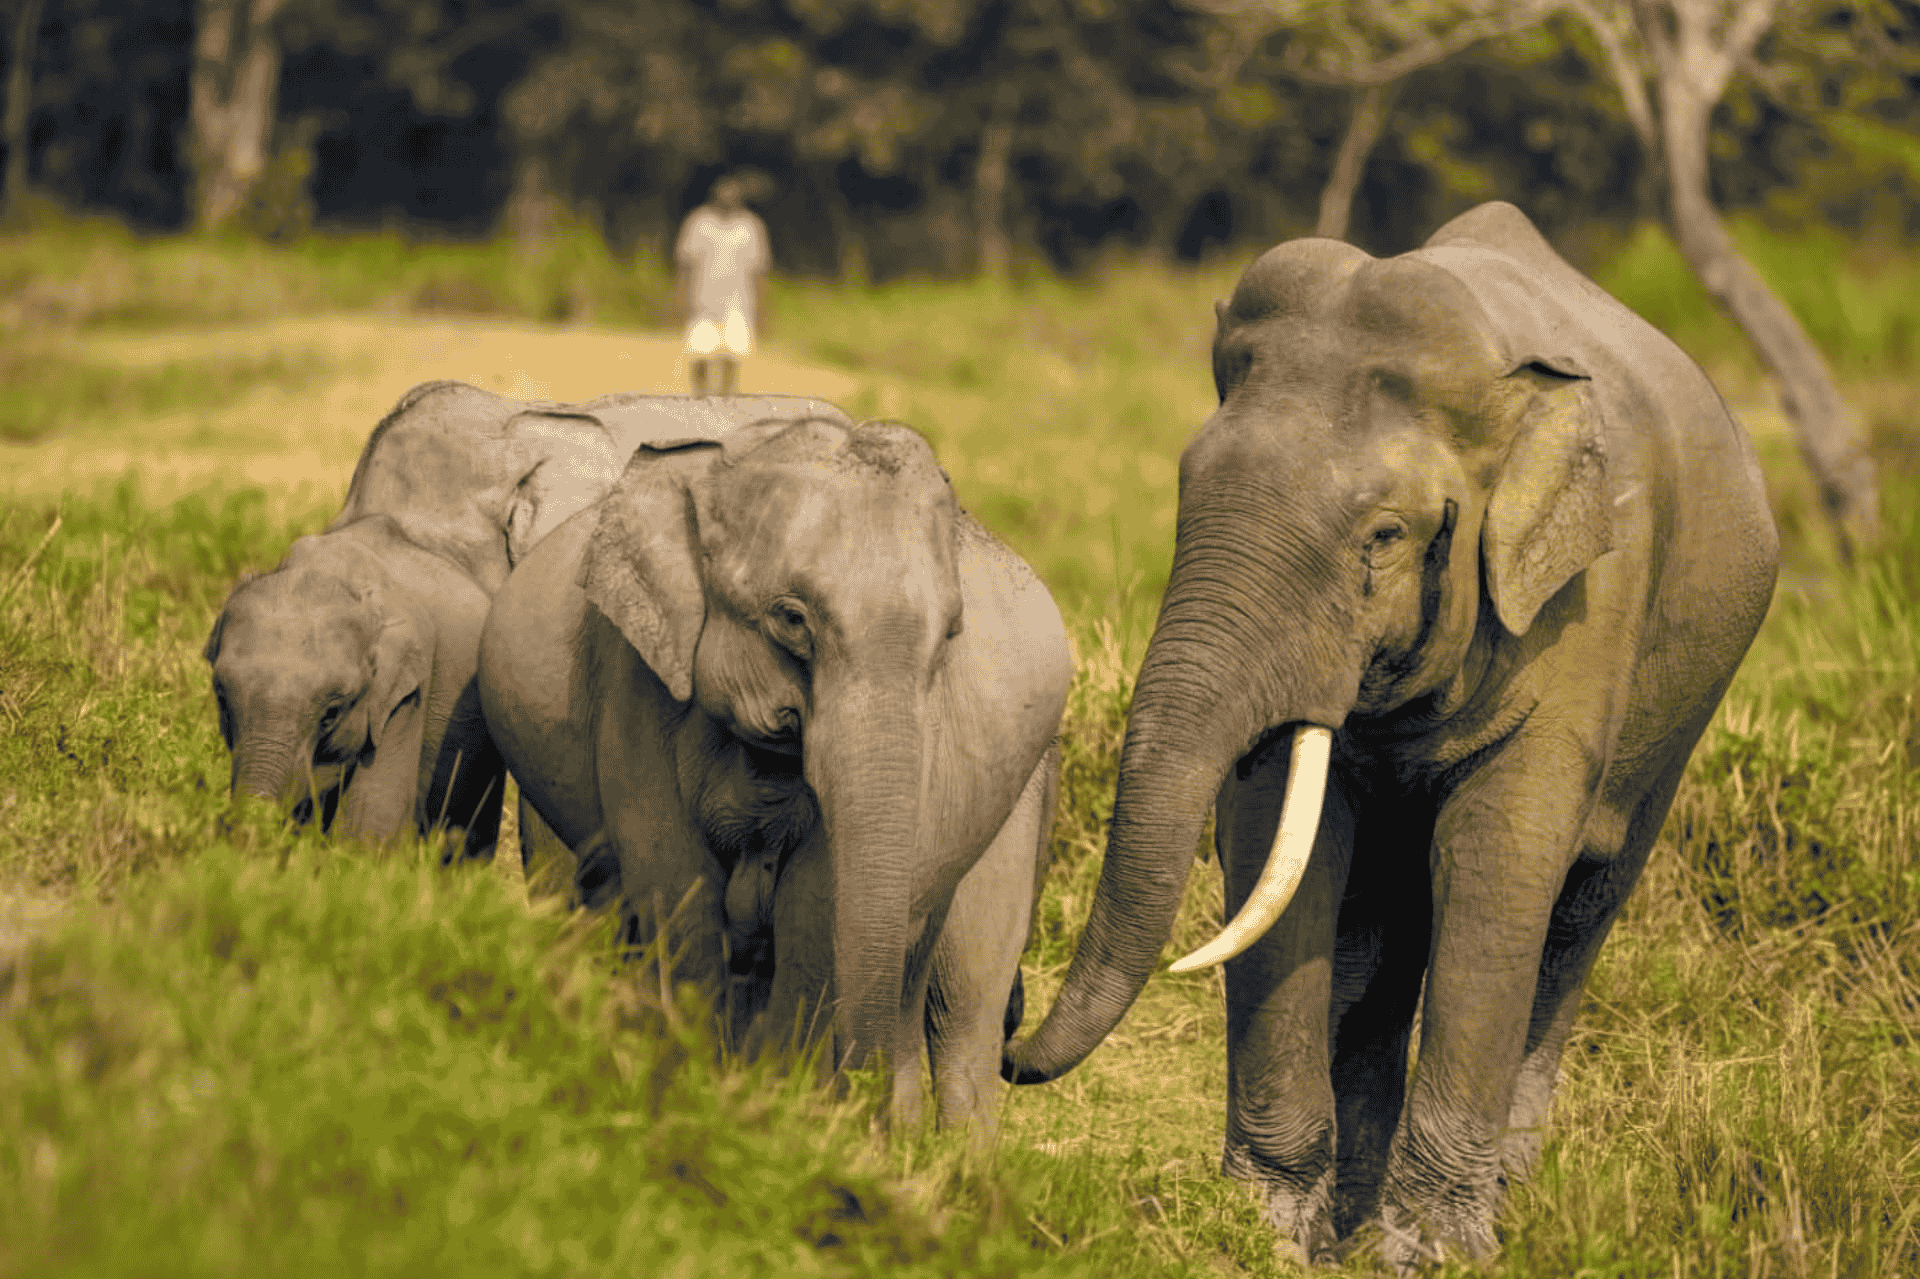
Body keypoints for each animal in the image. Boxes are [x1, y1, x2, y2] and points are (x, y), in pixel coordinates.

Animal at [478, 414, 1073, 1133]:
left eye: (951, 634)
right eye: (792, 618)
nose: (860, 1100)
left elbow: (812, 907)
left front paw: (775, 1107)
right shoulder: (637, 670)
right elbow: (677, 883)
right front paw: (693, 1091)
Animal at [1003, 202, 1779, 1267]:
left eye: (1384, 537)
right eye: (1185, 489)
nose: (1006, 1034)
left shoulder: (1585, 602)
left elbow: (1497, 861)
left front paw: (1437, 1254)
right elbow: (1281, 847)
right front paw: (1270, 1231)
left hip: (1685, 708)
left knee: (1576, 916)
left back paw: (1502, 1203)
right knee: (1383, 924)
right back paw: (1352, 1223)